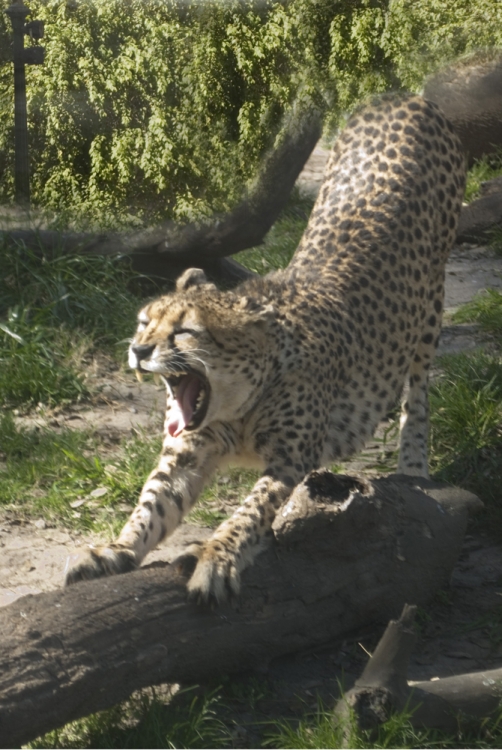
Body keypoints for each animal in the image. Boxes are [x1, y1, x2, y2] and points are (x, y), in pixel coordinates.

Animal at [66, 95, 466, 604]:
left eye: (185, 332)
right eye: (144, 322)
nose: (138, 350)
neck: (239, 400)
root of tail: (401, 97)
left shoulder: (290, 457)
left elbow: (251, 510)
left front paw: (216, 555)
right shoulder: (187, 450)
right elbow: (152, 504)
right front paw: (115, 550)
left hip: (430, 301)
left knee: (418, 385)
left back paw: (414, 463)